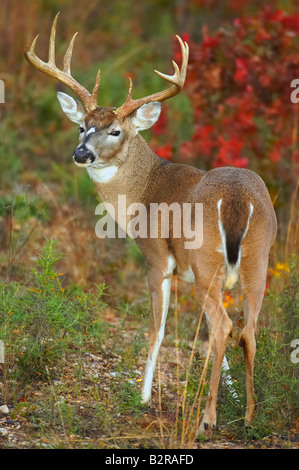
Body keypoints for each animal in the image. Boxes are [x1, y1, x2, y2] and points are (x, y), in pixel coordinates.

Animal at [25, 13, 278, 436]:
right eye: (81, 126)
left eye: (115, 130)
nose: (81, 153)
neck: (142, 192)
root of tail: (237, 200)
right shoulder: (188, 272)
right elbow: (204, 333)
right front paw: (231, 393)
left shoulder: (157, 256)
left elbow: (157, 328)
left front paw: (142, 395)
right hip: (257, 258)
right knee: (247, 329)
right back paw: (248, 415)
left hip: (207, 258)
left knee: (225, 325)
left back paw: (207, 419)